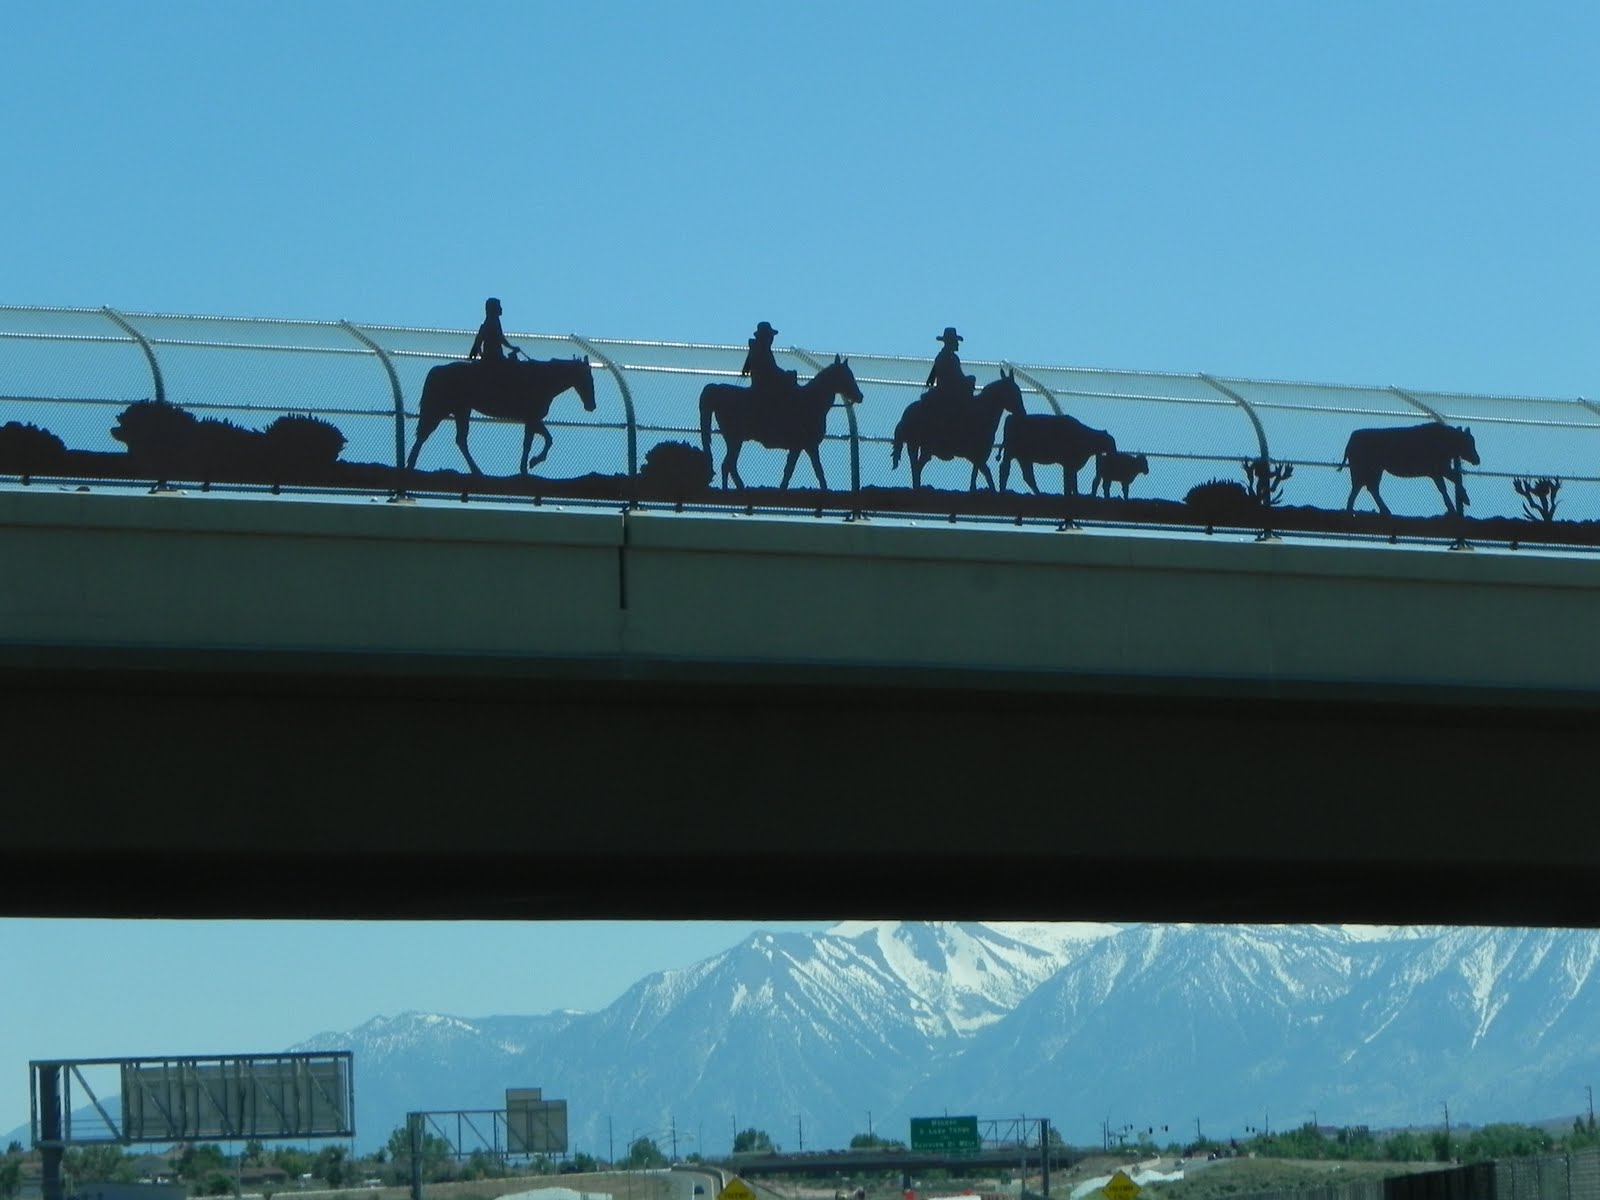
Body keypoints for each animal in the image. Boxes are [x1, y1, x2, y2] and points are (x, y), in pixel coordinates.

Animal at [406, 354, 597, 476]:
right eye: (587, 378)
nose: (591, 406)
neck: (544, 379)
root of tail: (438, 370)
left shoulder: (532, 420)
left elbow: (539, 440)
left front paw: (529, 464)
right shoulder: (532, 418)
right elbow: (538, 442)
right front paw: (531, 463)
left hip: (461, 410)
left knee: (458, 439)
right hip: (441, 409)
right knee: (425, 434)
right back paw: (411, 464)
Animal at [699, 355, 864, 489]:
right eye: (847, 376)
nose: (860, 396)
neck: (811, 401)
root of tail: (717, 390)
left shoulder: (805, 447)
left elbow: (808, 470)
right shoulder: (803, 446)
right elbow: (799, 471)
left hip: (734, 441)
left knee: (729, 466)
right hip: (735, 440)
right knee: (728, 465)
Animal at [890, 369, 1026, 489]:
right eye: (1013, 392)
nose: (1022, 413)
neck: (982, 413)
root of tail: (906, 415)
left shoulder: (980, 456)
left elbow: (975, 474)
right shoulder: (974, 455)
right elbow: (986, 472)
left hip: (918, 447)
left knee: (916, 467)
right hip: (918, 446)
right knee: (916, 467)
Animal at [1339, 423, 1479, 517]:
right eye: (1468, 442)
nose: (1477, 459)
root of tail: (1352, 439)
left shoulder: (1438, 471)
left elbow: (1449, 483)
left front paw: (1458, 503)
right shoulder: (1439, 469)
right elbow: (1449, 484)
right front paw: (1460, 503)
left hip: (1374, 470)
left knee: (1367, 488)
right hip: (1364, 470)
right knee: (1364, 487)